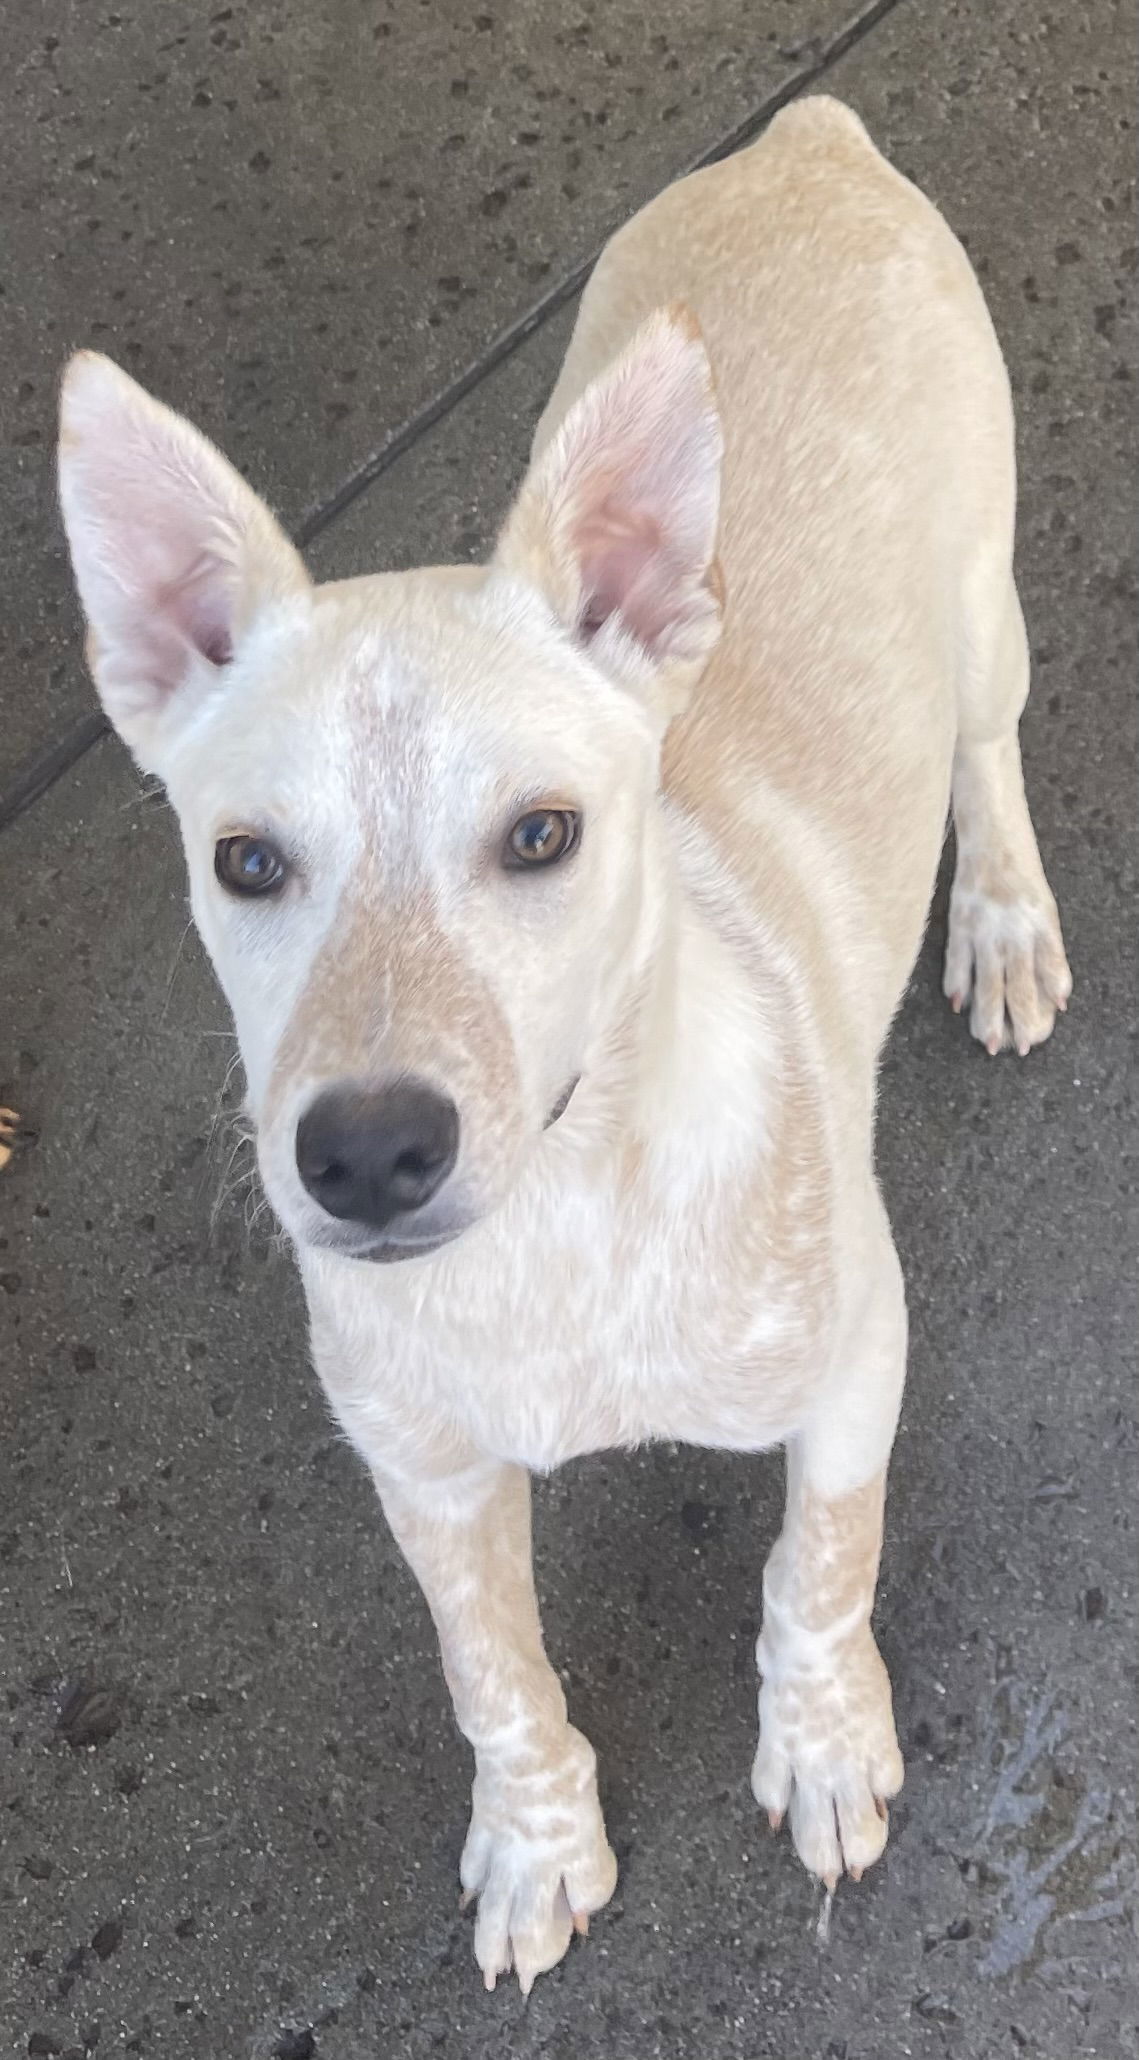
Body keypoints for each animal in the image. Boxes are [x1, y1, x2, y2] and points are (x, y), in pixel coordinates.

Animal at [55, 100, 1062, 1994]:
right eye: (244, 863)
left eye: (541, 837)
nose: (365, 1156)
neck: (564, 1219)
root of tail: (806, 143)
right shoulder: (424, 1472)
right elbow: (492, 1673)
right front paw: (533, 1846)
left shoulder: (855, 1355)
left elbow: (818, 1561)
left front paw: (822, 1741)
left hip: (980, 610)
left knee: (985, 749)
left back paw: (999, 920)